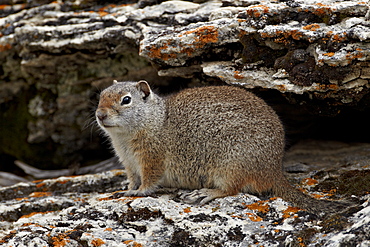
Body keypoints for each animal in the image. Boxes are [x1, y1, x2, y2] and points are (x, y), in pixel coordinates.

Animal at [97, 80, 346, 214]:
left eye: (126, 100)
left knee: (232, 189)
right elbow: (132, 178)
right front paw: (124, 189)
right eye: (100, 96)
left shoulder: (151, 158)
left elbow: (149, 181)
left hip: (230, 167)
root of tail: (274, 170)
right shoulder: (129, 163)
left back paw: (206, 193)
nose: (99, 115)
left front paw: (138, 192)